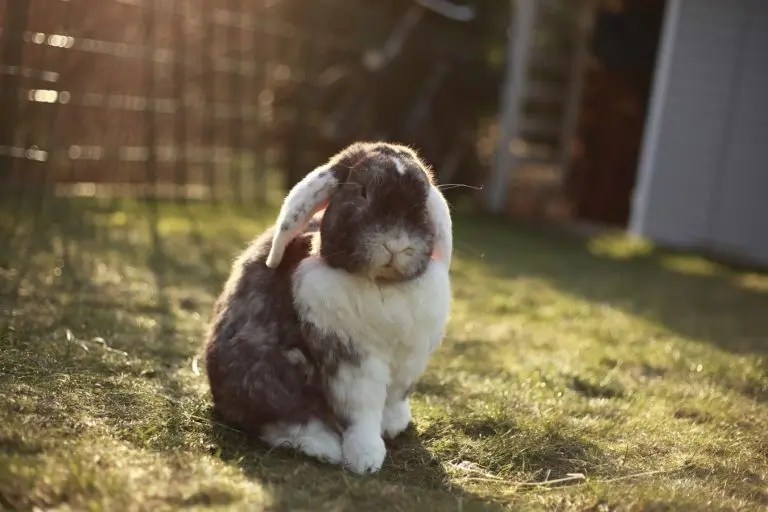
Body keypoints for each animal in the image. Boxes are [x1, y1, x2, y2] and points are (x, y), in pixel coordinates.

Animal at [204, 141, 452, 474]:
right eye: (362, 191)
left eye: (423, 200)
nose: (396, 244)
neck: (383, 285)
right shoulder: (350, 357)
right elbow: (362, 409)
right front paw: (366, 459)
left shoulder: (408, 358)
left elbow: (394, 398)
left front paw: (394, 426)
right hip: (267, 375)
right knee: (283, 421)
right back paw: (325, 447)